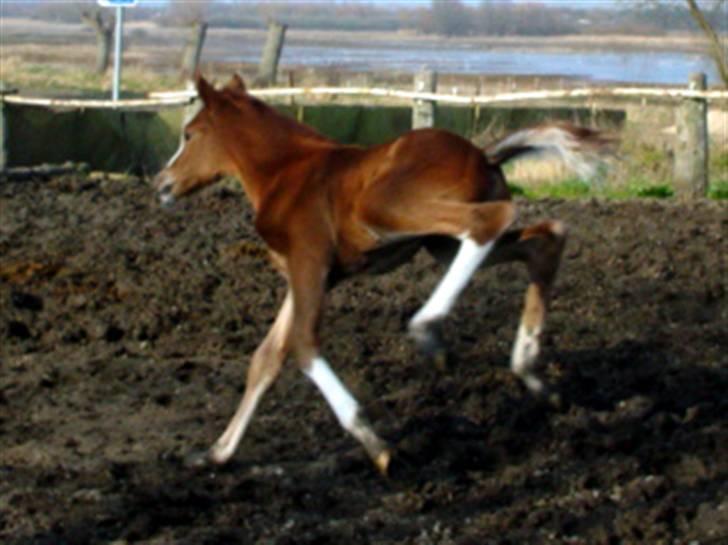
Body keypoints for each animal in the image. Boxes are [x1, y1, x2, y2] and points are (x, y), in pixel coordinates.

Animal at [155, 73, 616, 476]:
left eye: (189, 134)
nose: (161, 184)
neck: (286, 172)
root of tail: (483, 154)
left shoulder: (310, 262)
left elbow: (302, 345)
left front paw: (375, 446)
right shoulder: (306, 275)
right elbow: (266, 358)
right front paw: (215, 453)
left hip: (386, 208)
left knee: (492, 220)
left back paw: (427, 330)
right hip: (440, 243)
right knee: (545, 238)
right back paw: (533, 375)